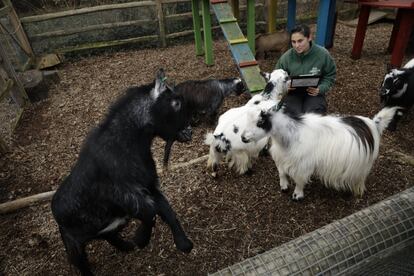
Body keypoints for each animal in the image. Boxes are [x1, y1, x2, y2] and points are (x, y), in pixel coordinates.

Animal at [51, 68, 193, 274]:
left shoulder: (149, 186)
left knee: (108, 235)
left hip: (112, 223)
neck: (126, 144)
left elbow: (166, 210)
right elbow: (151, 212)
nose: (190, 129)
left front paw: (184, 244)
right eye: (176, 103)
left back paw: (126, 246)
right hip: (73, 243)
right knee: (80, 263)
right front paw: (141, 240)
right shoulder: (126, 195)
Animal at [241, 103, 400, 201]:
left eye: (260, 123)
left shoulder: (303, 164)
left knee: (360, 178)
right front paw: (284, 186)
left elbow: (299, 180)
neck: (291, 136)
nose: (243, 137)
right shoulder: (282, 157)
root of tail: (373, 123)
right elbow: (281, 172)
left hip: (364, 164)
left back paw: (356, 191)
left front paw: (297, 196)